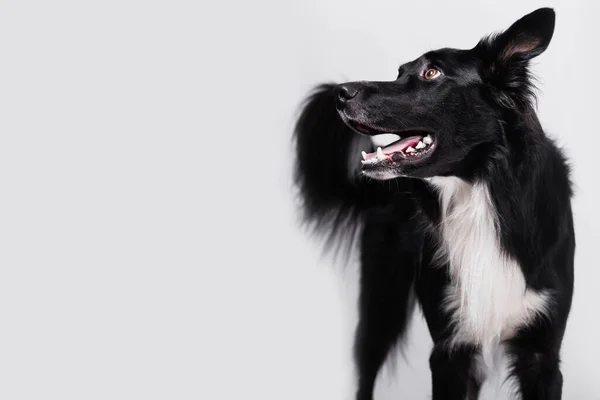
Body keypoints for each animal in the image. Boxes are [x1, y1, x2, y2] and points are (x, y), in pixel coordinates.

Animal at [292, 7, 576, 400]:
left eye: (432, 73)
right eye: (400, 72)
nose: (340, 93)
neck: (481, 194)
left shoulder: (542, 353)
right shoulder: (450, 348)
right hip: (382, 300)